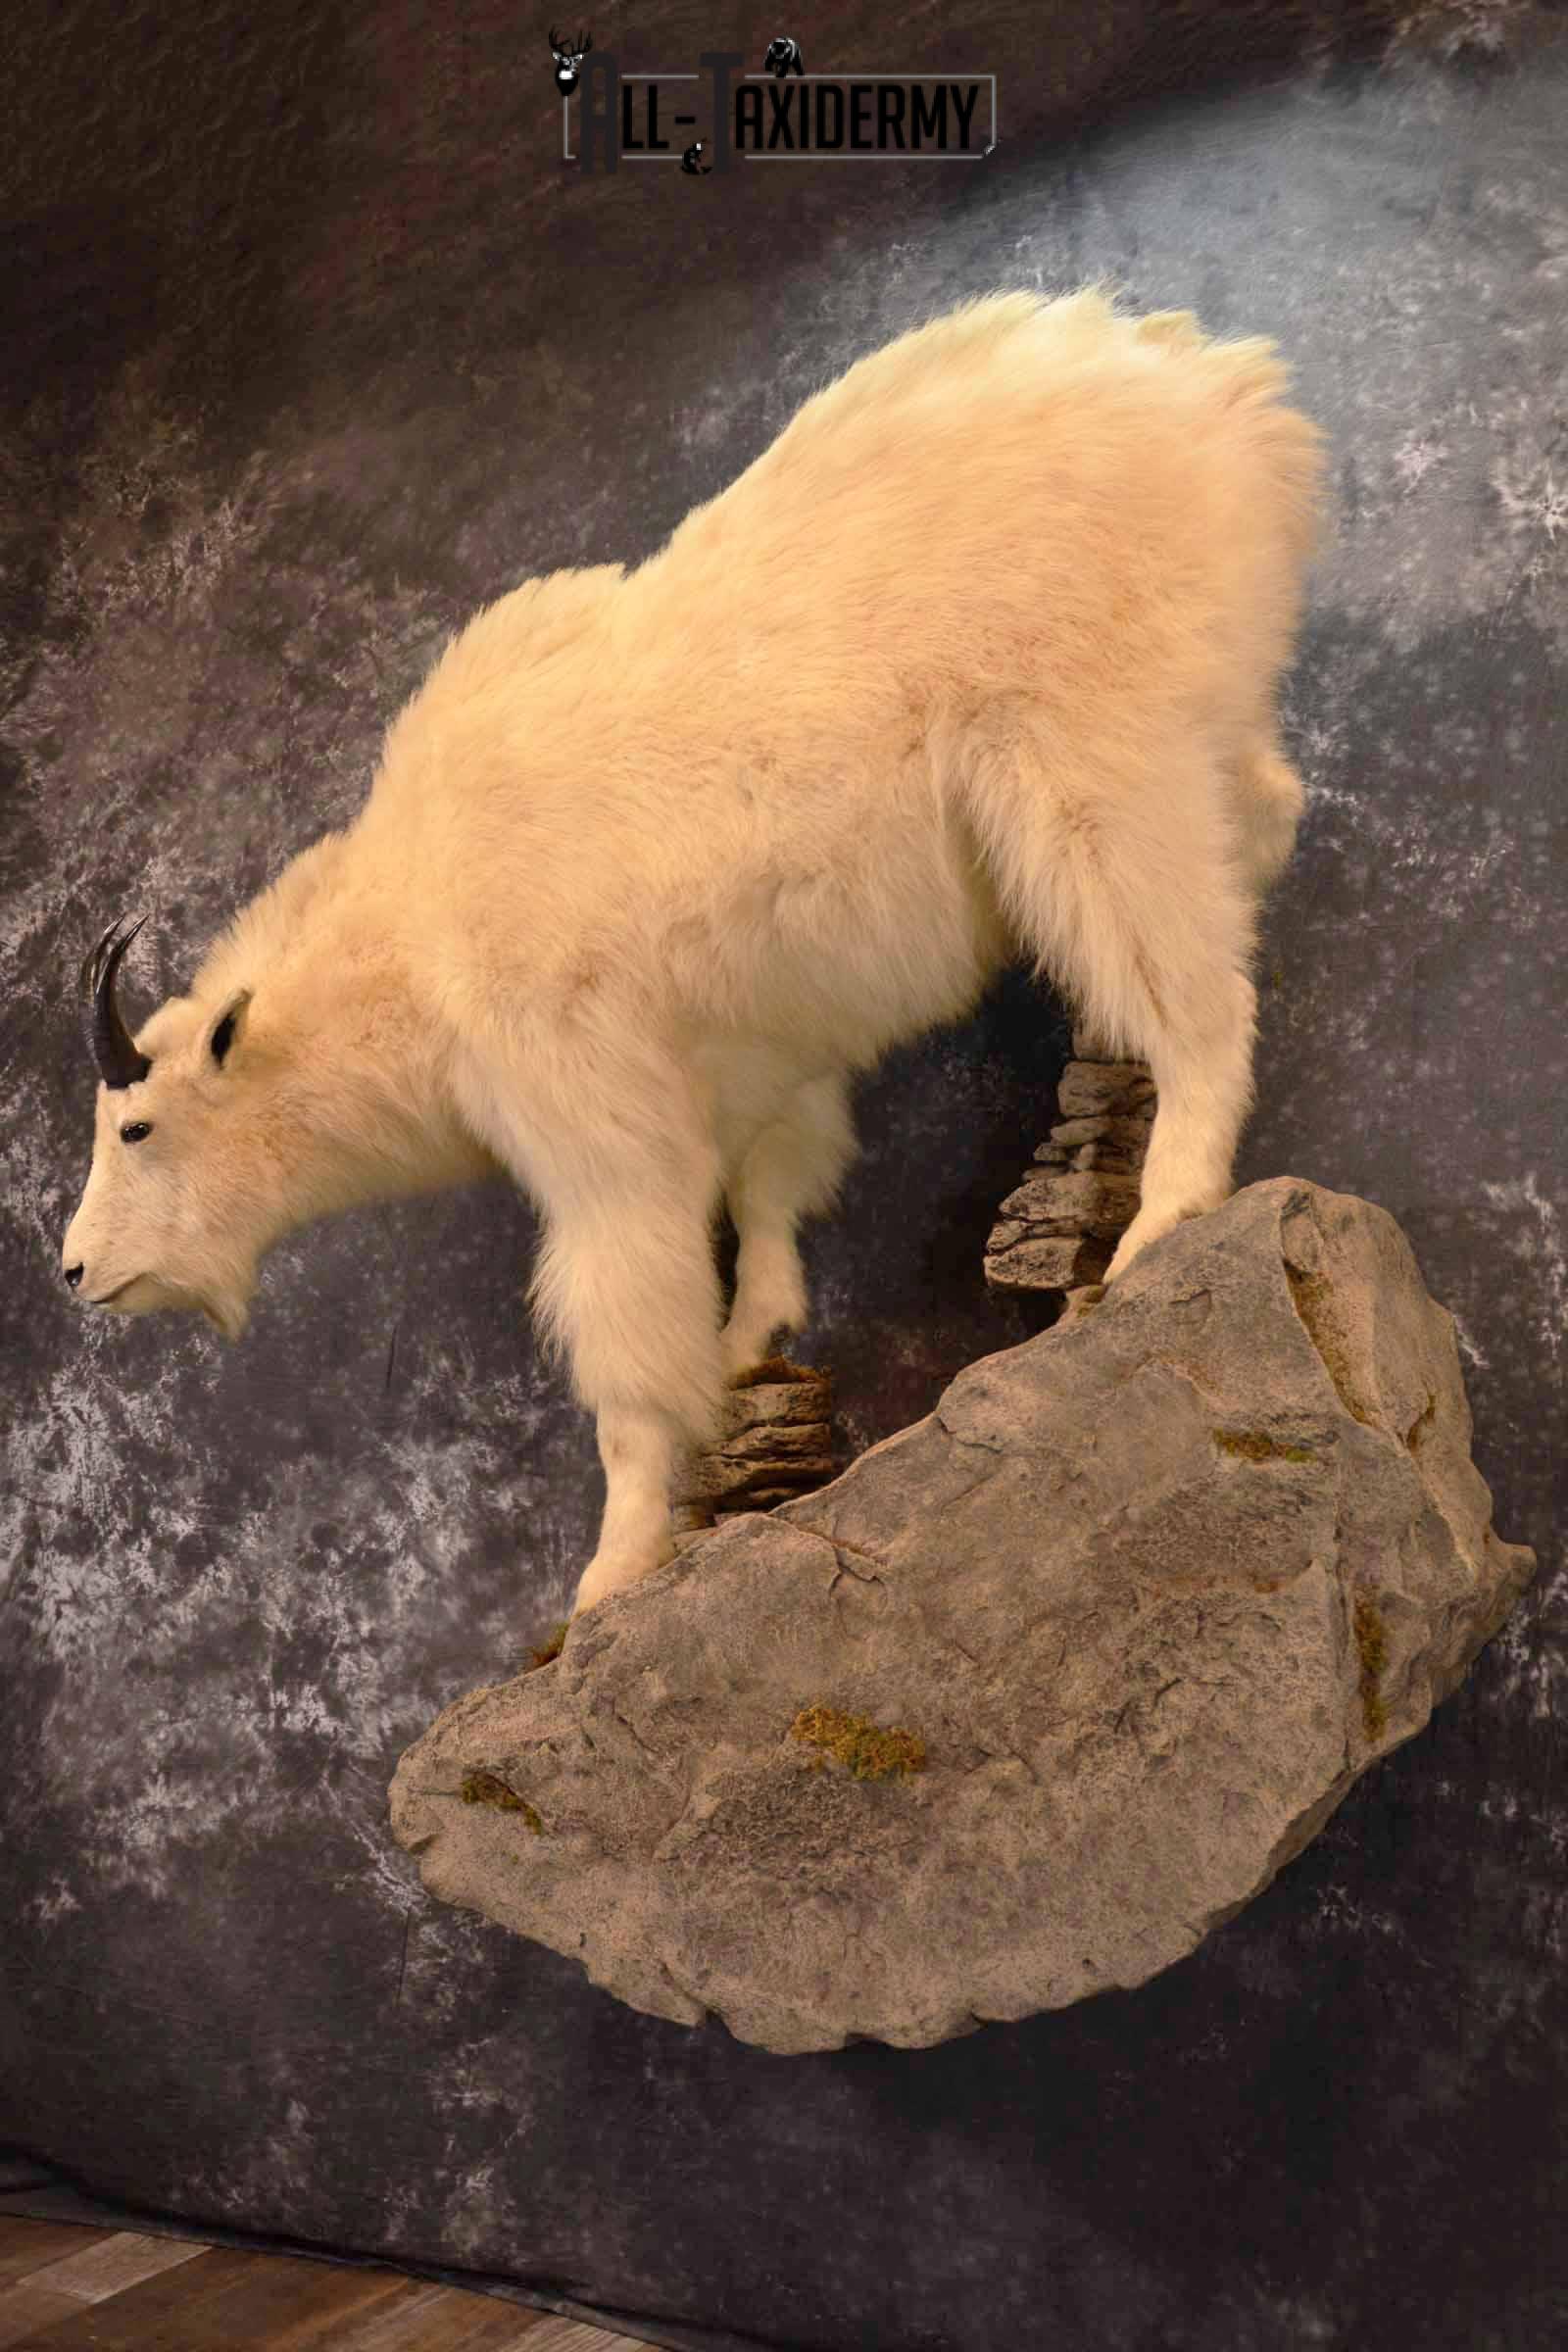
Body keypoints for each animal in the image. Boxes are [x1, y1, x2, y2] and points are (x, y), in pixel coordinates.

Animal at [61, 287, 1324, 1619]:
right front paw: (751, 1343)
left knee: (1192, 984)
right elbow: (769, 1203)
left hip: (1092, 765)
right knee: (1264, 813)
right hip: (1197, 726)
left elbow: (627, 1353)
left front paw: (611, 1572)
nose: (80, 1272)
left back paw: (1163, 1214)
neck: (408, 942)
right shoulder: (752, 1069)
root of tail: (1230, 401)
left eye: (135, 1127)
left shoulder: (590, 1127)